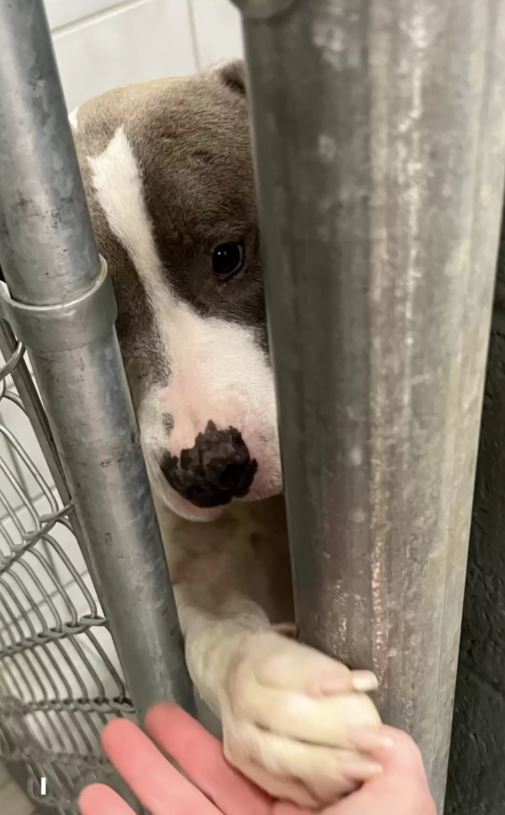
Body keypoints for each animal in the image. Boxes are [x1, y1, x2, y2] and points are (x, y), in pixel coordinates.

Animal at [70, 60, 382, 808]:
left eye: (227, 255)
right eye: (104, 315)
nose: (208, 467)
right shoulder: (194, 569)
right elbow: (205, 634)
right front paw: (279, 704)